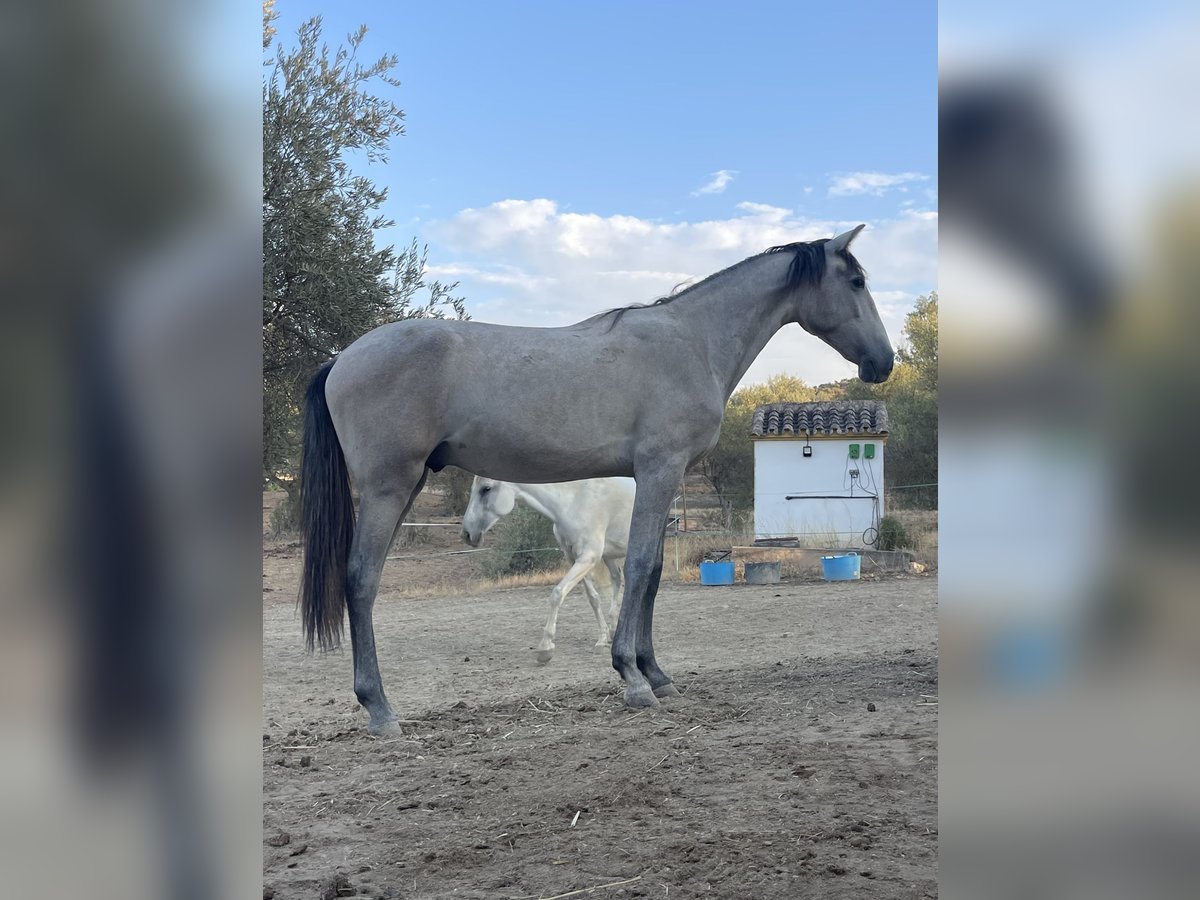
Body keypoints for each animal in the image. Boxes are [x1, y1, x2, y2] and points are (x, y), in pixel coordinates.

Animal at [460, 480, 638, 662]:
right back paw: (614, 629)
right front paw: (602, 640)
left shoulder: (588, 557)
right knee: (617, 579)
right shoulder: (573, 557)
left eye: (486, 488)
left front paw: (545, 647)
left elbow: (557, 594)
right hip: (610, 555)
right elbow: (593, 599)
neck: (574, 500)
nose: (466, 534)